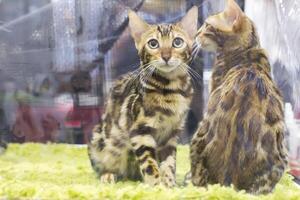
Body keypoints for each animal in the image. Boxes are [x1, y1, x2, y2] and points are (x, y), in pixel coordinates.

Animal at [88, 6, 198, 188]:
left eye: (177, 42)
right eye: (153, 44)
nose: (166, 56)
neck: (172, 88)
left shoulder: (171, 134)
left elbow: (169, 163)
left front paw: (170, 185)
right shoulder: (140, 131)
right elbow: (149, 164)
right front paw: (156, 186)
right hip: (99, 142)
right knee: (102, 167)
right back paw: (108, 175)